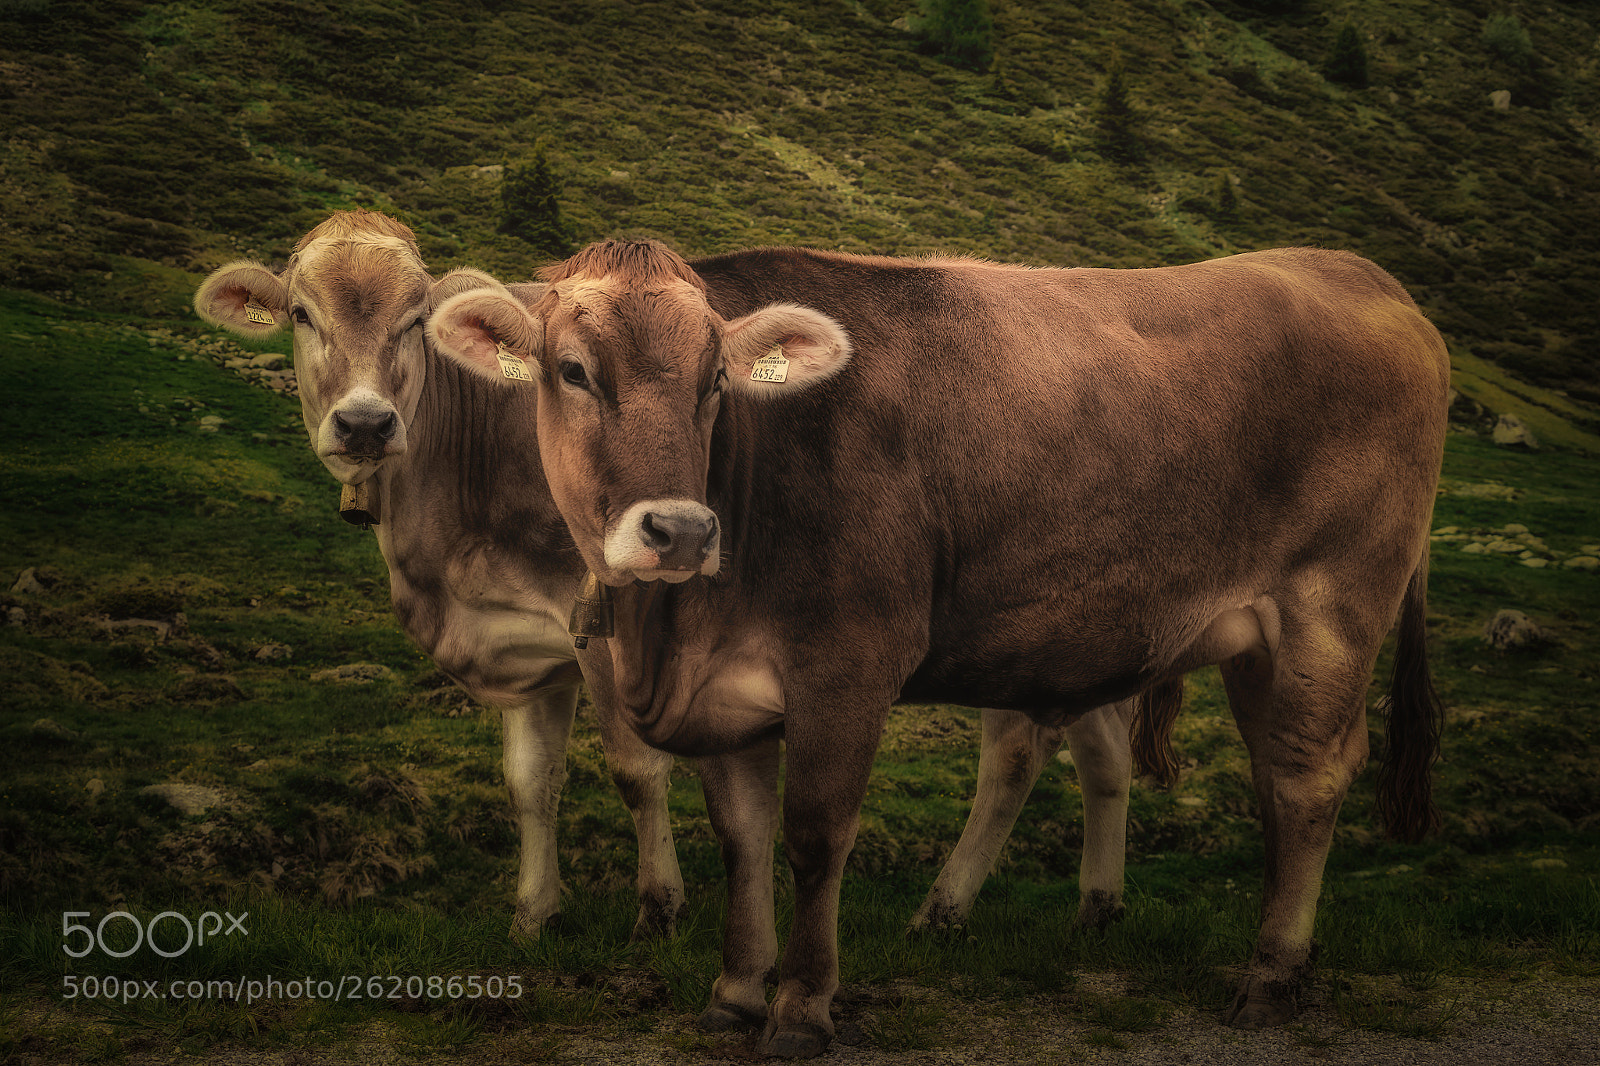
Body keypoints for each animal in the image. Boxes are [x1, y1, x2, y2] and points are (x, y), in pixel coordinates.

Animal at [192, 211, 1167, 951]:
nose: (364, 423)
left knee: (1015, 755)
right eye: (302, 314)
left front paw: (658, 907)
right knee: (1100, 748)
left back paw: (947, 908)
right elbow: (529, 780)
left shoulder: (598, 628)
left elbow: (635, 770)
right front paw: (534, 914)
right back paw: (1097, 902)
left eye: (411, 321)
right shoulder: (527, 646)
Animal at [428, 239, 1448, 1058]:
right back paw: (1286, 958)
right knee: (1279, 773)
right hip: (1255, 641)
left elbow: (814, 837)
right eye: (571, 370)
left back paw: (1270, 976)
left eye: (715, 382)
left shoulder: (848, 665)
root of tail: (1355, 272)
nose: (678, 530)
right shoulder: (725, 696)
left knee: (1309, 775)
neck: (672, 634)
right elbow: (742, 839)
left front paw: (800, 1008)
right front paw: (735, 992)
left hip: (1331, 605)